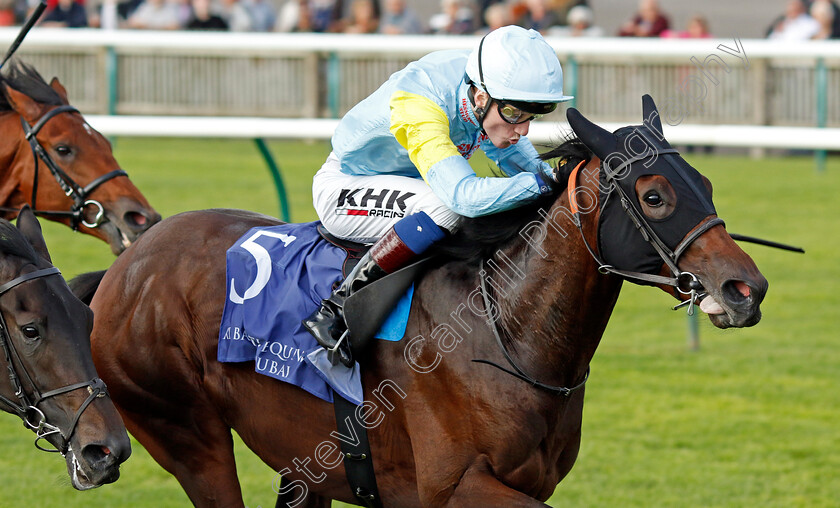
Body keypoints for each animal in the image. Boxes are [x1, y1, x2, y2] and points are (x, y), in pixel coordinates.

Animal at [74, 97, 768, 506]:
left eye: (705, 183)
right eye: (654, 196)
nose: (746, 289)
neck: (503, 331)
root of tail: (125, 267)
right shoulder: (454, 487)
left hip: (298, 456)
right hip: (187, 434)